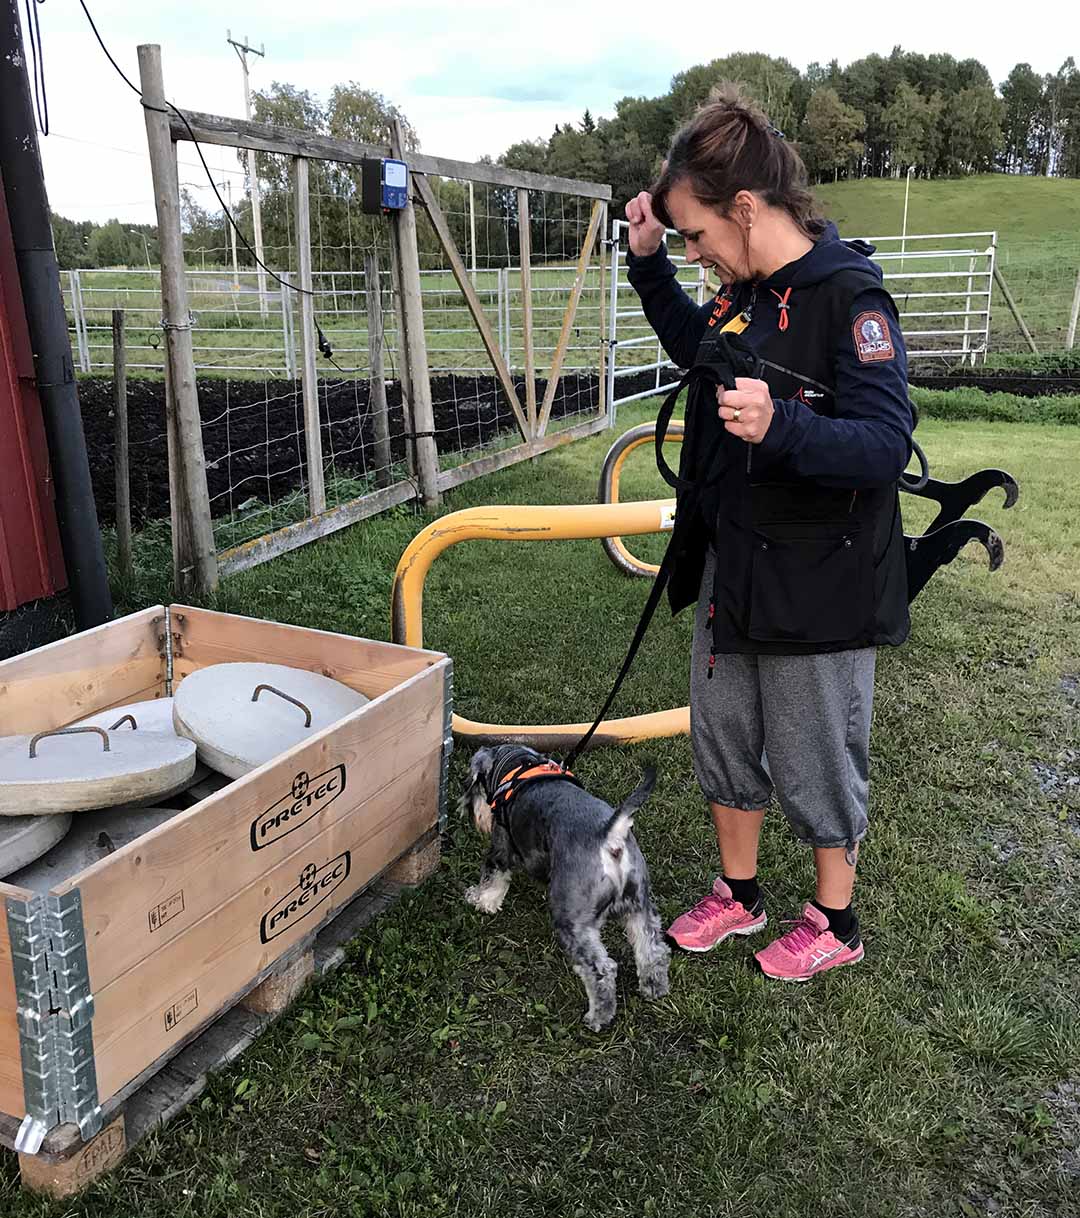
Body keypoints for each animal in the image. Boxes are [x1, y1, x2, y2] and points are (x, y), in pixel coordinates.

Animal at [460, 740, 672, 1027]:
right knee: (652, 948)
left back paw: (597, 1017)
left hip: (573, 921)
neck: (517, 766)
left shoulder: (501, 848)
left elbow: (493, 879)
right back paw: (654, 988)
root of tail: (610, 837)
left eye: (474, 781)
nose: (470, 810)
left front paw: (480, 900)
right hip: (640, 906)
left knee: (602, 969)